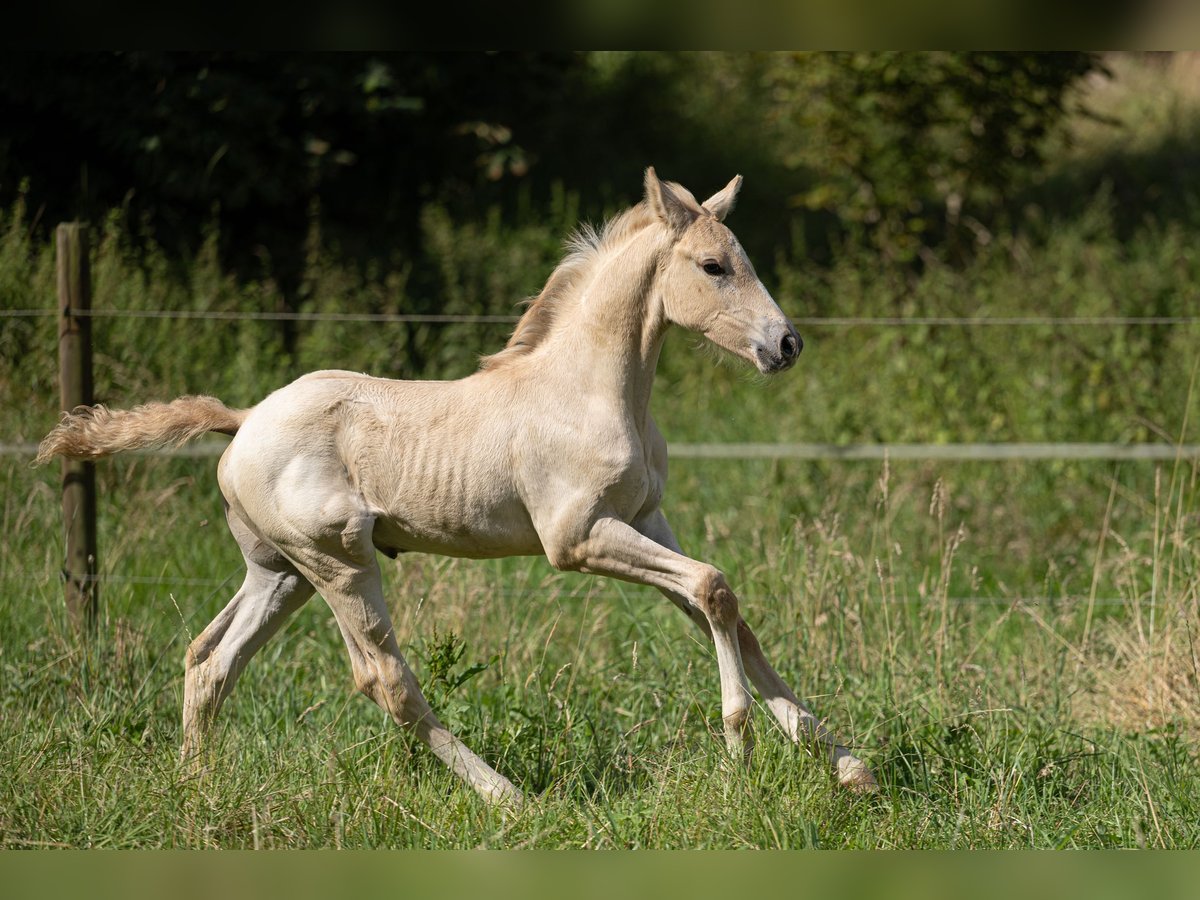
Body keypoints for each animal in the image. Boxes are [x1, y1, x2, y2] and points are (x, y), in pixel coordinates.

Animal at [37, 169, 878, 801]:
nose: (785, 344)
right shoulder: (577, 540)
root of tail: (242, 421)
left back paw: (196, 787)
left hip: (280, 572)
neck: (591, 390)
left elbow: (725, 609)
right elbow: (712, 586)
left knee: (210, 661)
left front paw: (845, 765)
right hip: (340, 564)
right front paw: (740, 745)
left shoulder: (646, 520)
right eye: (712, 267)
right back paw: (509, 797)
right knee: (386, 681)